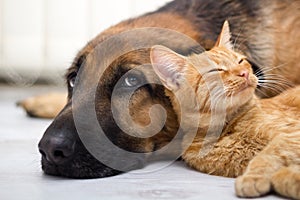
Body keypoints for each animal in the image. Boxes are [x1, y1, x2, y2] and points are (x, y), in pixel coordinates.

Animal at [151, 21, 300, 199]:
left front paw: (252, 177)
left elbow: (270, 153)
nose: (244, 73)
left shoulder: (292, 134)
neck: (228, 130)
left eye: (240, 61)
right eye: (216, 70)